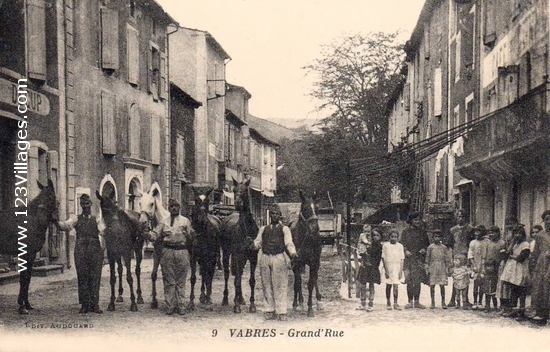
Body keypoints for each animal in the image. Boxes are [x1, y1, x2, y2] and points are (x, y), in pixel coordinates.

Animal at [0, 180, 57, 314]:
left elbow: (28, 279)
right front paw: (22, 307)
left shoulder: (31, 255)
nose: (41, 218)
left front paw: (27, 305)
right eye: (41, 196)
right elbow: (23, 279)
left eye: (50, 196)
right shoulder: (25, 254)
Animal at [220, 179, 260, 314]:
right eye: (234, 190)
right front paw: (236, 306)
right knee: (227, 274)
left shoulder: (253, 257)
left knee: (240, 273)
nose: (237, 203)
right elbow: (237, 280)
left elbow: (251, 281)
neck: (247, 229)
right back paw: (226, 299)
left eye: (244, 190)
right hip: (227, 253)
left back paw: (241, 298)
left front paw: (252, 305)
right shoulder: (238, 255)